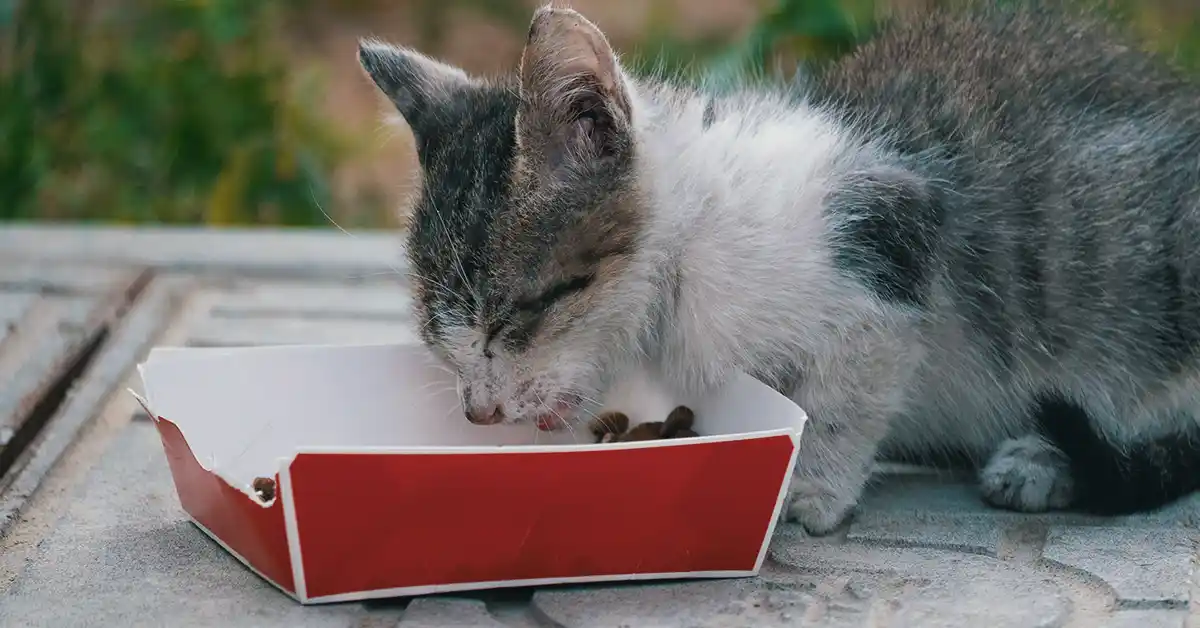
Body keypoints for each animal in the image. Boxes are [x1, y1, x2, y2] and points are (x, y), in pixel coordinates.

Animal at [357, 0, 1200, 535]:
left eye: (514, 316)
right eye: (440, 339)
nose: (479, 411)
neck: (690, 251)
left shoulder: (888, 238)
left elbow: (846, 393)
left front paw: (812, 488)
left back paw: (1043, 457)